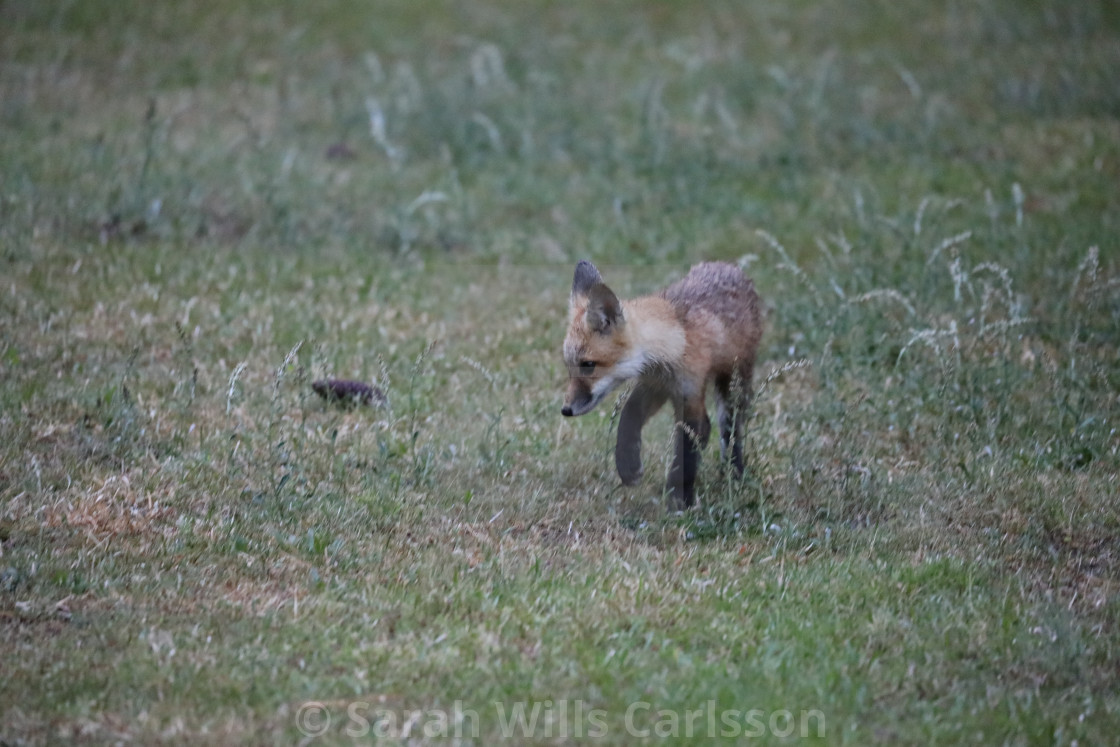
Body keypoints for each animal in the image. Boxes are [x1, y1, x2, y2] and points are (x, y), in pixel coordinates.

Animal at [560, 259, 761, 510]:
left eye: (588, 365)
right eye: (569, 365)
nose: (566, 410)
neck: (673, 343)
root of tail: (729, 265)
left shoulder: (689, 392)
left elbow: (686, 449)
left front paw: (679, 499)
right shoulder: (655, 385)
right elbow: (628, 417)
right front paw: (628, 465)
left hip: (732, 386)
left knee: (730, 431)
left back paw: (733, 474)